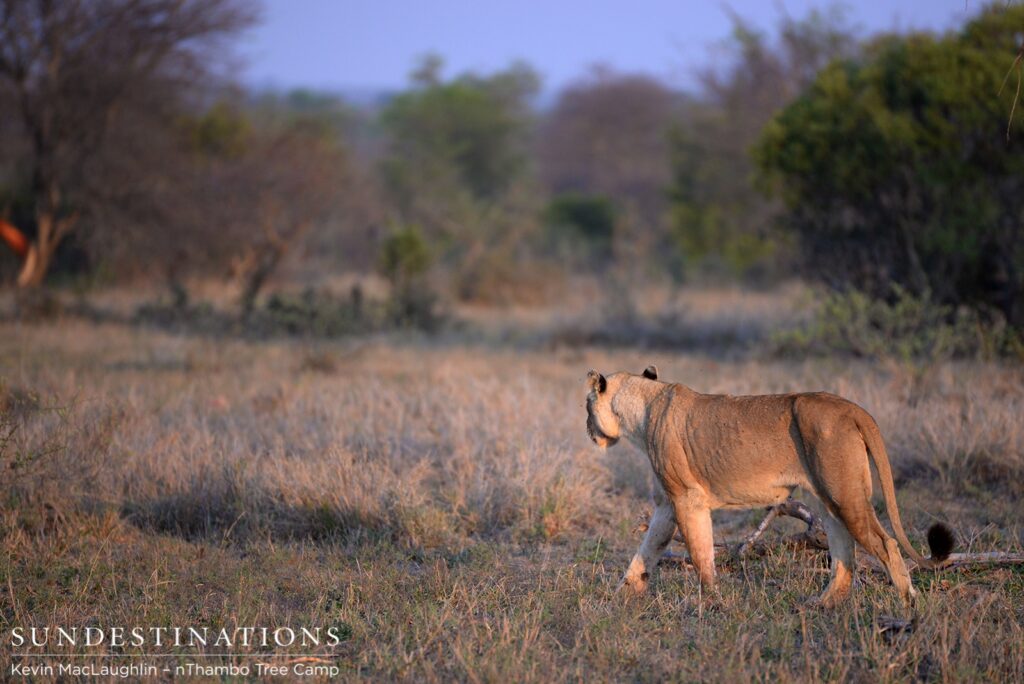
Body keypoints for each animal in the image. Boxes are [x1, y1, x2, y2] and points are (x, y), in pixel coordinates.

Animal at [585, 365, 954, 607]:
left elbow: (700, 554)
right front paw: (621, 593)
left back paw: (908, 603)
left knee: (885, 543)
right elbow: (648, 548)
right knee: (843, 555)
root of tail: (854, 409)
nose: (588, 430)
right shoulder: (667, 503)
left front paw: (710, 602)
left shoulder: (688, 498)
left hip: (845, 494)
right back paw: (822, 604)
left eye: (586, 407)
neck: (644, 408)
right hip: (829, 499)